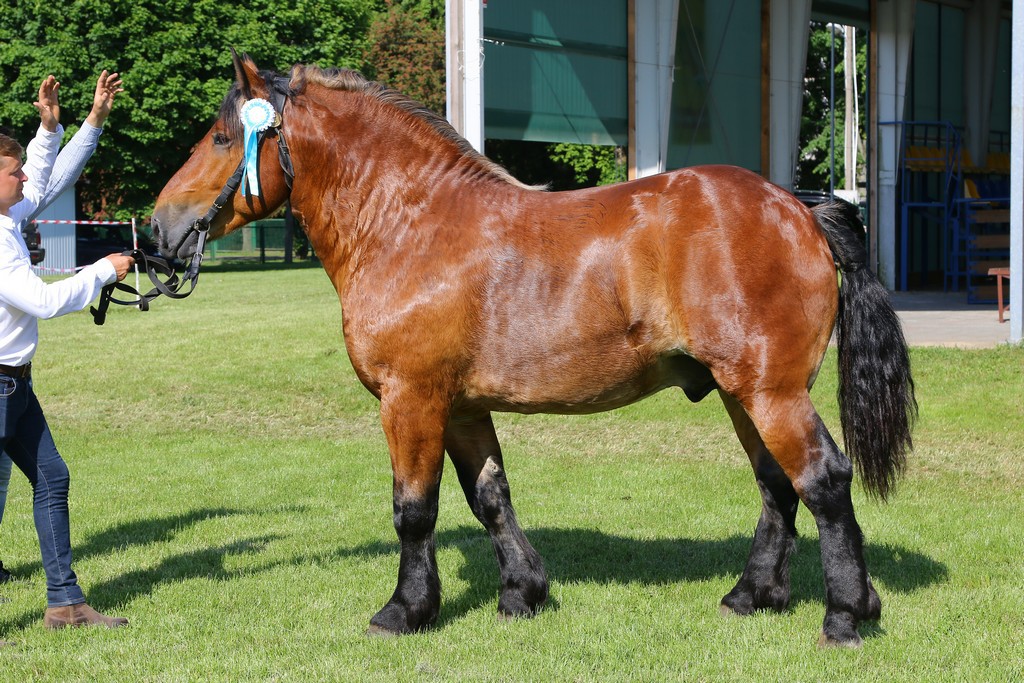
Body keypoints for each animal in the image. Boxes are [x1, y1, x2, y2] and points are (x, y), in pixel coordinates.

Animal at [151, 53, 915, 647]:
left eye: (222, 137)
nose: (159, 227)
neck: (411, 224)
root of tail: (796, 206)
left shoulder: (411, 399)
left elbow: (414, 508)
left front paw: (405, 610)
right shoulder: (461, 407)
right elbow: (490, 495)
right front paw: (523, 591)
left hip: (769, 391)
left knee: (822, 480)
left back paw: (846, 614)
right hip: (741, 392)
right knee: (777, 486)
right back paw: (752, 595)